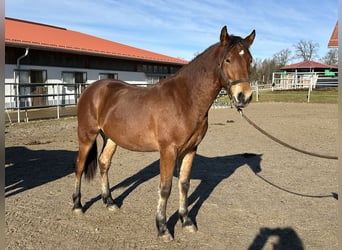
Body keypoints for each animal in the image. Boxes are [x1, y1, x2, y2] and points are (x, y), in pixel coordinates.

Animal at [73, 26, 255, 241]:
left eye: (250, 60)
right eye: (228, 59)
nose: (244, 96)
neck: (185, 99)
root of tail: (91, 89)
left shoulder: (191, 150)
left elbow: (184, 185)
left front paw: (186, 221)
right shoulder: (168, 150)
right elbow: (165, 188)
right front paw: (163, 228)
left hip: (111, 138)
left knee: (103, 163)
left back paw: (109, 202)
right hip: (87, 136)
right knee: (79, 167)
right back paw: (77, 205)